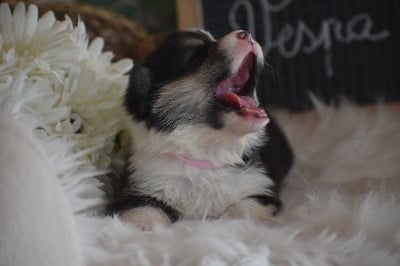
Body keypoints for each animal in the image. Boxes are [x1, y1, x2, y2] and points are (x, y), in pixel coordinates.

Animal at [112, 28, 294, 229]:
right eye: (197, 56)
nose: (246, 34)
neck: (205, 154)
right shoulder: (138, 189)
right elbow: (142, 212)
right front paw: (147, 227)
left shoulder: (261, 190)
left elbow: (244, 211)